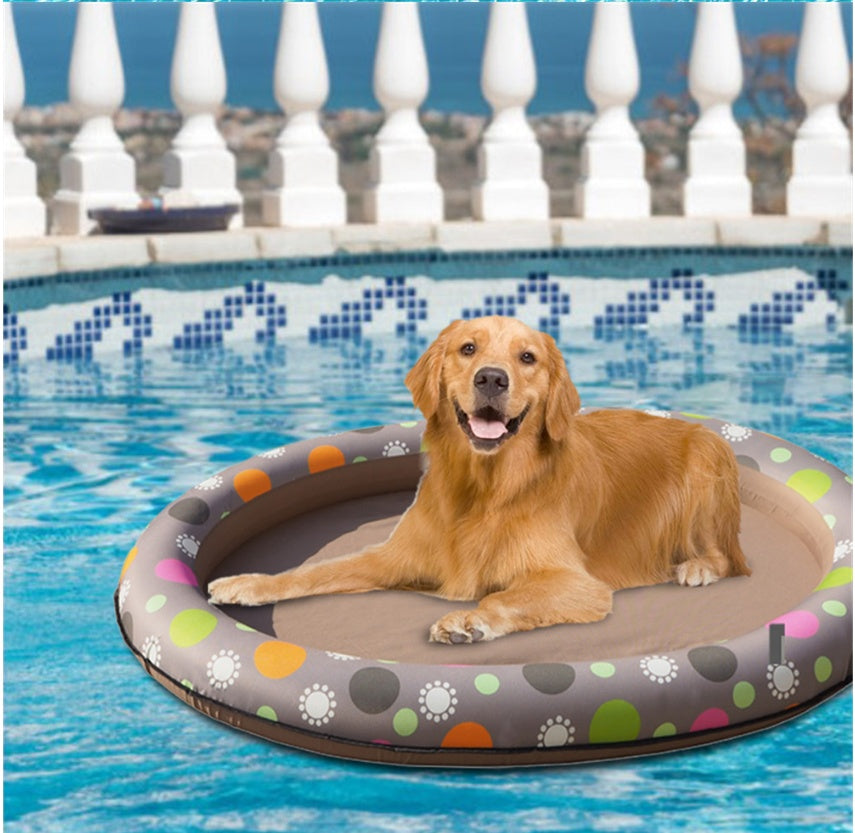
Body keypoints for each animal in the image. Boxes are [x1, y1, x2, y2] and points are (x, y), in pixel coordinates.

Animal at [207, 314, 748, 644]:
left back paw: (697, 567)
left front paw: (468, 620)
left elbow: (502, 594)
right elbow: (315, 572)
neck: (485, 490)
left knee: (727, 558)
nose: (492, 377)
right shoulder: (394, 557)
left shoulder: (577, 583)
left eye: (527, 358)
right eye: (467, 348)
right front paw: (250, 583)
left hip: (708, 461)